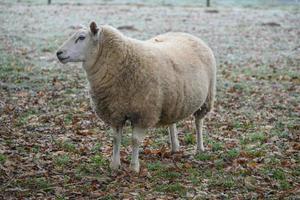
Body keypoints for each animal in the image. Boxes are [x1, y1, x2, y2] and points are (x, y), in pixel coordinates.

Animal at [56, 21, 216, 172]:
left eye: (81, 37)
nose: (59, 53)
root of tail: (187, 34)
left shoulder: (143, 113)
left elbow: (135, 140)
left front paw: (134, 167)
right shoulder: (115, 112)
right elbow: (116, 139)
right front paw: (114, 165)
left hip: (207, 97)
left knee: (198, 122)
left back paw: (199, 148)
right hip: (173, 99)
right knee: (172, 122)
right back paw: (175, 147)